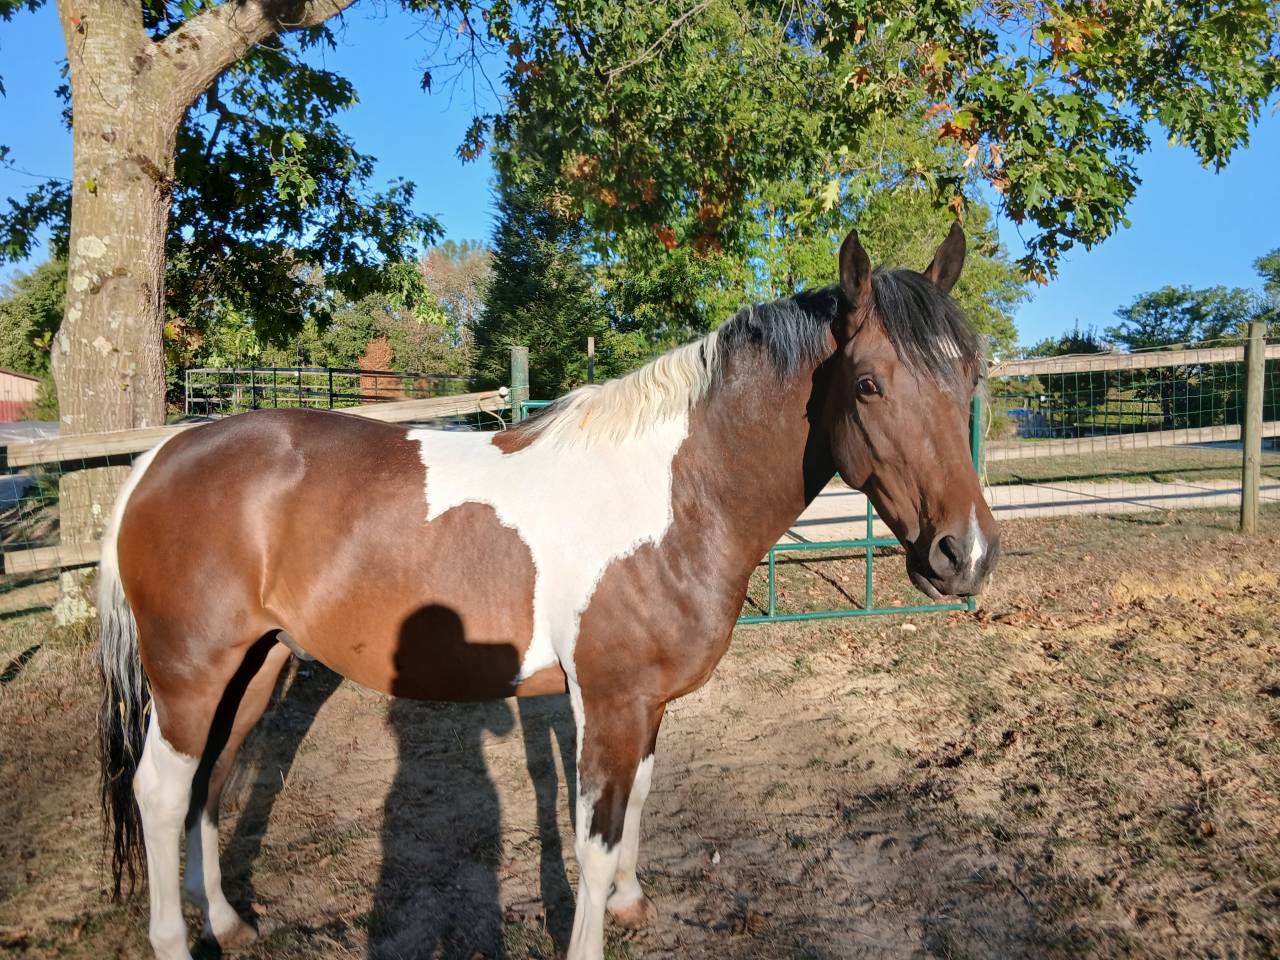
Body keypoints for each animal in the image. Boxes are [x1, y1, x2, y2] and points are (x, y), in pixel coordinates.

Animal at [97, 225, 999, 960]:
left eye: (971, 376)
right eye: (870, 384)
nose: (965, 553)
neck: (673, 494)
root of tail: (161, 458)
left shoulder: (646, 704)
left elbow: (637, 802)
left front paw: (632, 903)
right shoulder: (607, 698)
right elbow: (593, 841)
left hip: (254, 668)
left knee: (210, 784)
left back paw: (227, 923)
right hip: (190, 673)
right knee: (161, 791)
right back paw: (175, 940)